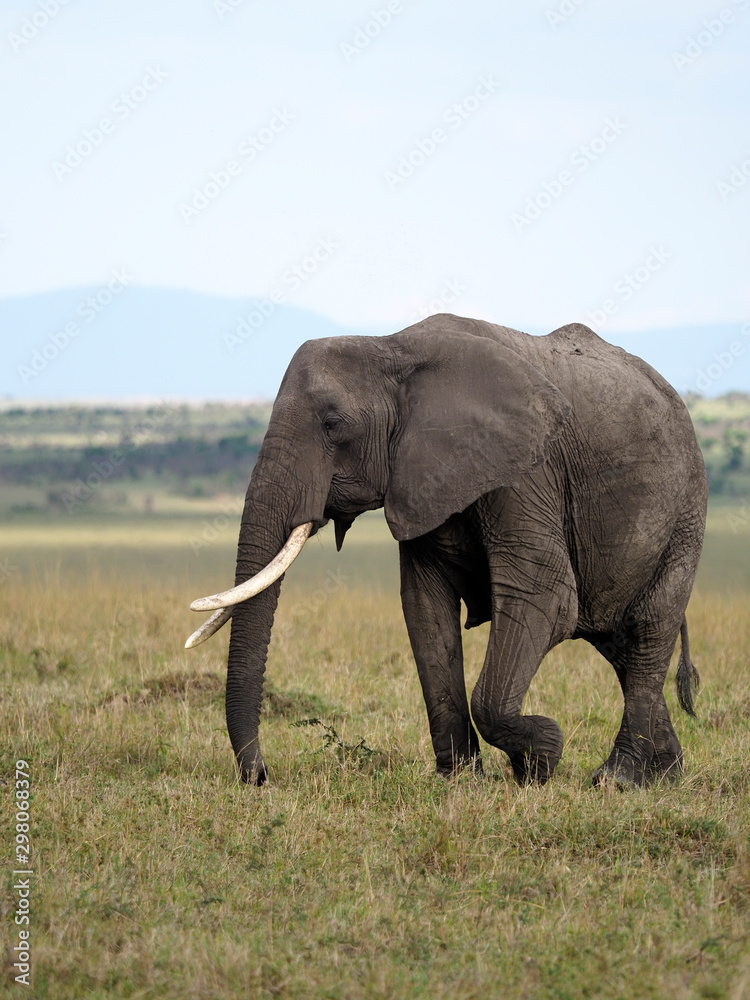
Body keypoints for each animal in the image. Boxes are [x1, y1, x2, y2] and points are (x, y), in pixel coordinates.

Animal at [186, 314, 707, 788]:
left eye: (333, 424)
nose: (262, 776)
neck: (390, 346)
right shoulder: (419, 480)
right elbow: (425, 608)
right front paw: (458, 780)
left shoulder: (525, 474)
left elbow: (547, 597)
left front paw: (540, 758)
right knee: (620, 645)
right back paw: (665, 773)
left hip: (685, 512)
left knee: (647, 630)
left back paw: (618, 779)